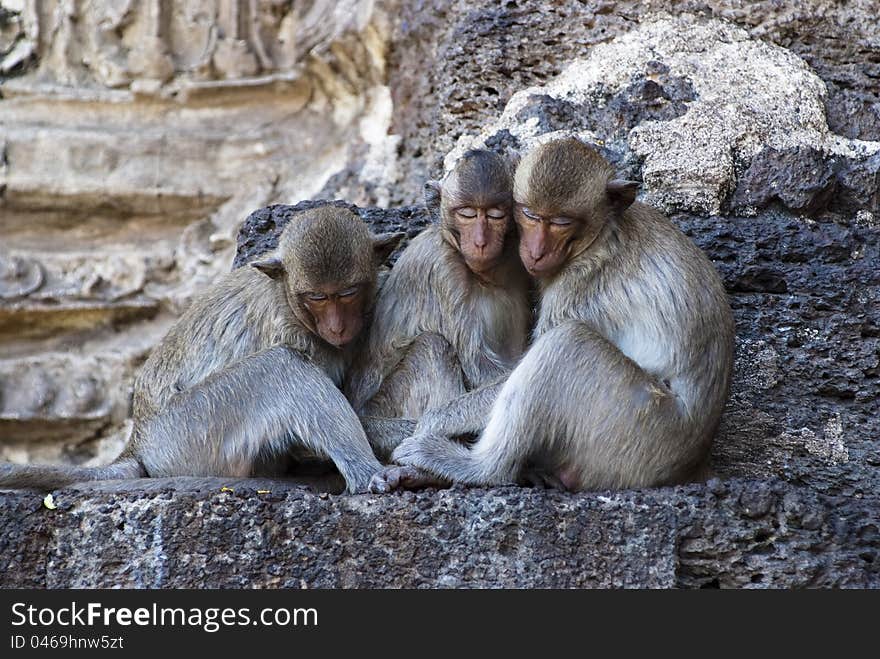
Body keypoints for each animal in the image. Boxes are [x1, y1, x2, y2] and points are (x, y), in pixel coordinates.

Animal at [0, 209, 406, 492]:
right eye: (317, 298)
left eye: (348, 293)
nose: (337, 327)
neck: (288, 300)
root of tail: (137, 442)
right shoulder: (291, 332)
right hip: (188, 435)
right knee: (281, 368)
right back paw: (367, 474)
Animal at [384, 138, 736, 490]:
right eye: (529, 214)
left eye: (562, 222)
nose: (537, 252)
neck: (601, 233)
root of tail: (691, 463)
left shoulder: (581, 283)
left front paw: (429, 423)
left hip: (636, 432)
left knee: (566, 342)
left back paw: (475, 467)